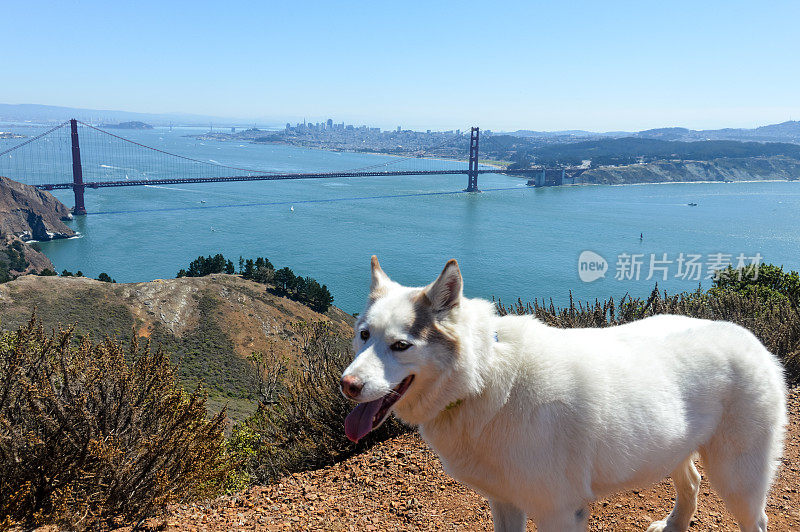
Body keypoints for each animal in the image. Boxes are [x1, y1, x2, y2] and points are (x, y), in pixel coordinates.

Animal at [340, 258, 788, 532]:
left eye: (400, 346)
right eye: (364, 336)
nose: (347, 385)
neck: (485, 378)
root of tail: (752, 340)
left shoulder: (560, 512)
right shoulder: (505, 503)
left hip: (738, 479)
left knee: (756, 520)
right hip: (672, 448)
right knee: (692, 483)